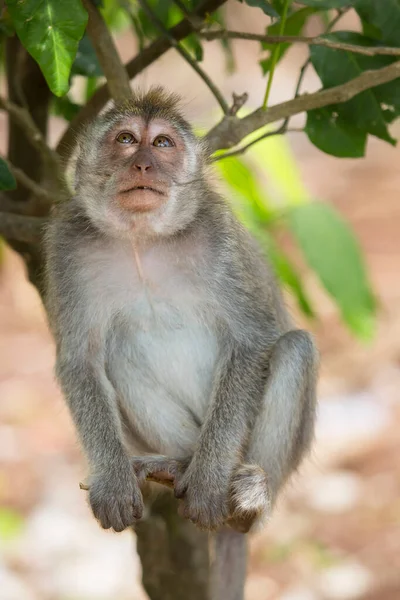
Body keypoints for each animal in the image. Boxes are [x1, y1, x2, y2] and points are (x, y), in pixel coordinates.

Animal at [43, 86, 318, 596]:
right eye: (126, 140)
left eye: (163, 144)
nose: (143, 165)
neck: (142, 239)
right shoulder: (66, 248)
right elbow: (79, 360)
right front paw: (112, 479)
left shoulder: (219, 239)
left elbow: (251, 341)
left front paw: (209, 481)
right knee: (117, 354)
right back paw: (176, 464)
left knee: (294, 348)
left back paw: (249, 496)